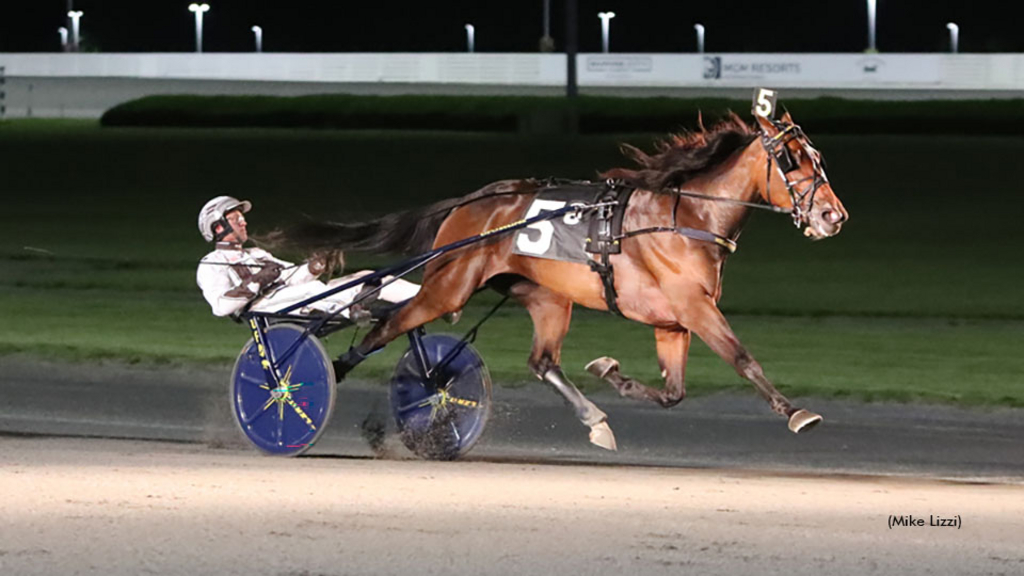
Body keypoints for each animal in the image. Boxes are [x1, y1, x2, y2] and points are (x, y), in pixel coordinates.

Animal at [272, 106, 847, 448]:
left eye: (818, 157)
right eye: (791, 159)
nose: (833, 216)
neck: (686, 217)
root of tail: (470, 200)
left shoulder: (673, 321)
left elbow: (673, 393)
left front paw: (612, 372)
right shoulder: (695, 306)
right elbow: (743, 358)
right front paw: (796, 413)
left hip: (546, 297)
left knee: (541, 361)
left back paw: (592, 419)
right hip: (448, 286)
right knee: (383, 328)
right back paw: (306, 378)